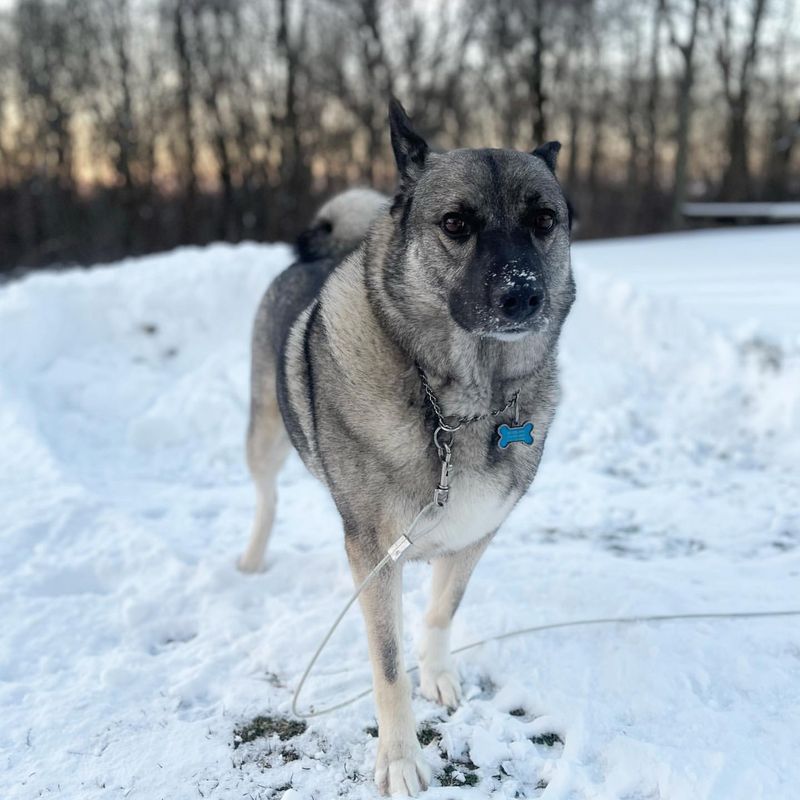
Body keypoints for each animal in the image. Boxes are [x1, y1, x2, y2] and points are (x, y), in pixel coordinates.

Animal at [239, 100, 576, 792]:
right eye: (455, 223)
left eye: (543, 221)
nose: (523, 294)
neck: (458, 405)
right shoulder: (375, 551)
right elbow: (388, 663)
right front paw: (400, 758)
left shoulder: (475, 534)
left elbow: (442, 611)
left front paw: (439, 674)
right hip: (264, 433)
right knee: (265, 497)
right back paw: (254, 558)